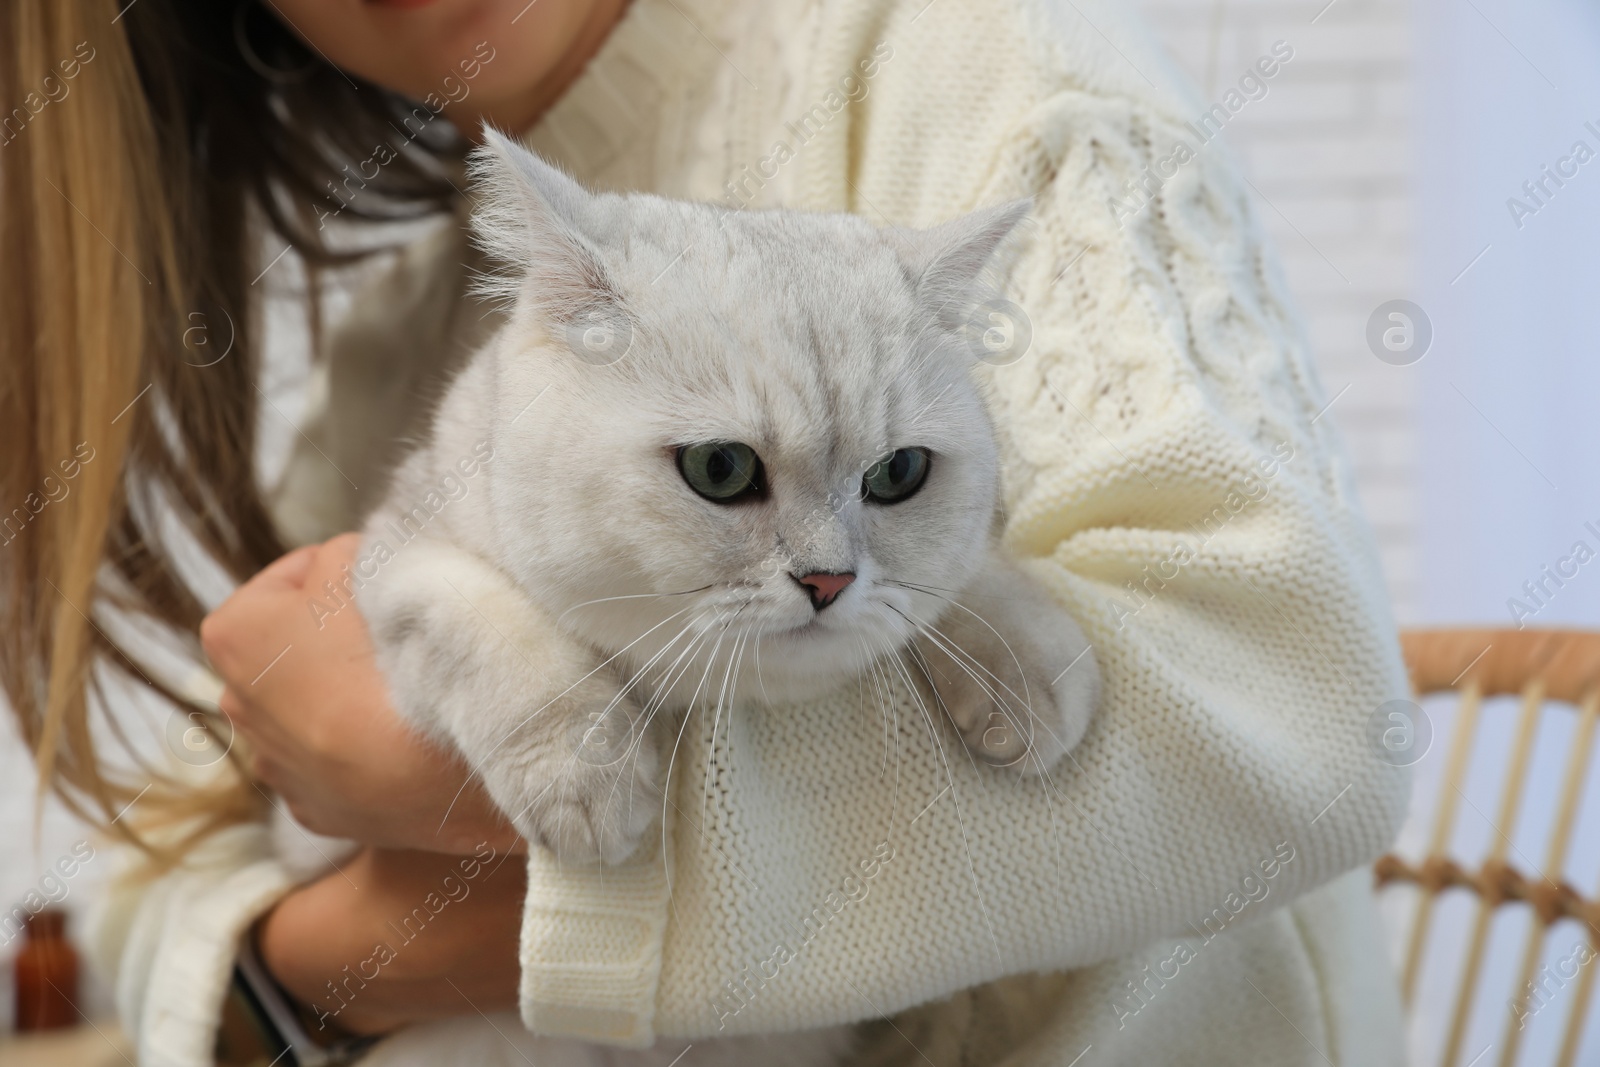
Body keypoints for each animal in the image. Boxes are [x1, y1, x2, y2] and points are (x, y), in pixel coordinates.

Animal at [316, 133, 1094, 1067]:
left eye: (898, 474)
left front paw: (1034, 673)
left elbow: (967, 579)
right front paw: (586, 776)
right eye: (719, 469)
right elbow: (492, 631)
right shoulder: (397, 558)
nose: (829, 580)